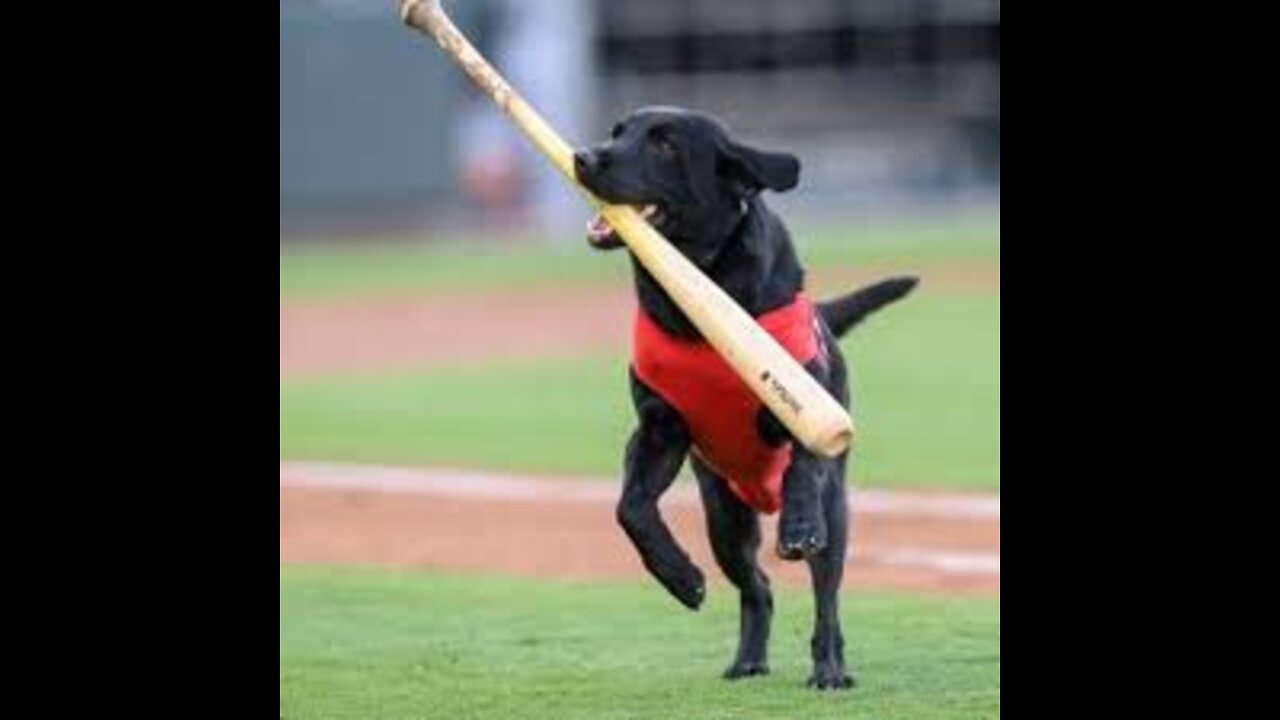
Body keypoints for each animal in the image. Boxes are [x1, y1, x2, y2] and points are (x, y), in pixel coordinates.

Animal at [576, 107, 916, 691]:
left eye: (665, 143)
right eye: (618, 132)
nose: (584, 156)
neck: (700, 298)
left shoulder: (804, 409)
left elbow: (803, 464)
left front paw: (797, 525)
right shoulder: (658, 429)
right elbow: (631, 507)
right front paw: (680, 577)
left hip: (835, 515)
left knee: (827, 599)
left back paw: (830, 668)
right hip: (724, 519)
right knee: (758, 585)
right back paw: (748, 659)